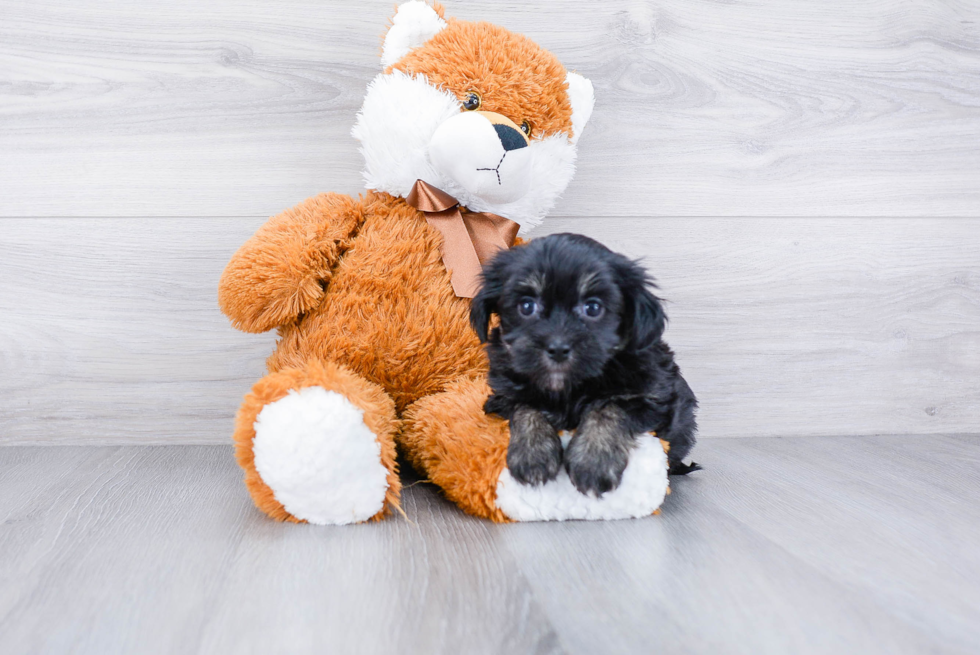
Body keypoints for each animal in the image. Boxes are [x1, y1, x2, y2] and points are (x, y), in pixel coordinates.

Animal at [470, 233, 700, 494]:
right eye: (527, 306)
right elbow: (526, 407)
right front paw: (533, 454)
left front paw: (593, 460)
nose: (558, 348)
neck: (570, 388)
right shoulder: (503, 396)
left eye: (593, 308)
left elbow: (609, 408)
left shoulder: (653, 399)